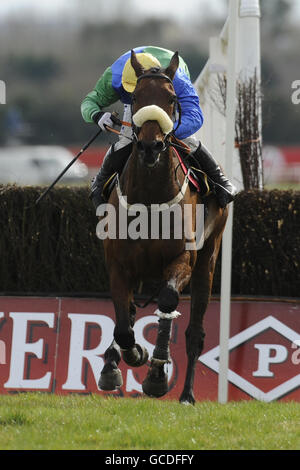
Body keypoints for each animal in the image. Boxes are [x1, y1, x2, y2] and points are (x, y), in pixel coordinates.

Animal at [98, 50, 227, 404]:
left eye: (171, 99)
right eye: (136, 98)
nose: (151, 147)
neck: (150, 199)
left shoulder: (183, 259)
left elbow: (168, 302)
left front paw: (156, 371)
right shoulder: (118, 264)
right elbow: (123, 325)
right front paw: (129, 358)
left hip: (208, 259)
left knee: (194, 331)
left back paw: (186, 394)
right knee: (128, 314)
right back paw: (112, 365)